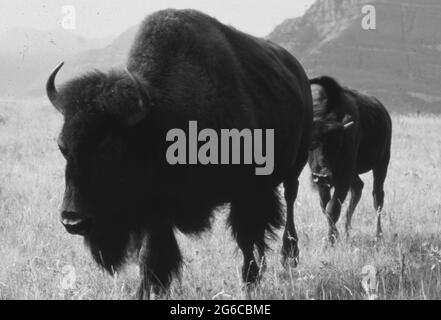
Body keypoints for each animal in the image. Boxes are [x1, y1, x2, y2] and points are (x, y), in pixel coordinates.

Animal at [46, 10, 312, 300]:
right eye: (62, 146)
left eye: (110, 146)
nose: (72, 220)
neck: (161, 120)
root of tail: (298, 72)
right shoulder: (155, 210)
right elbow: (152, 256)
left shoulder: (247, 192)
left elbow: (246, 240)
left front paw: (249, 284)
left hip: (295, 168)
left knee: (289, 204)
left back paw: (290, 258)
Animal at [308, 75, 390, 242]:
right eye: (310, 142)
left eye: (336, 141)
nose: (322, 174)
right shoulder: (322, 183)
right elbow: (325, 206)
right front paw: (335, 235)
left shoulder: (343, 177)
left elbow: (332, 208)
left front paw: (331, 239)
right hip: (356, 172)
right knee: (358, 187)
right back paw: (347, 231)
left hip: (382, 163)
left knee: (378, 196)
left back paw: (378, 235)